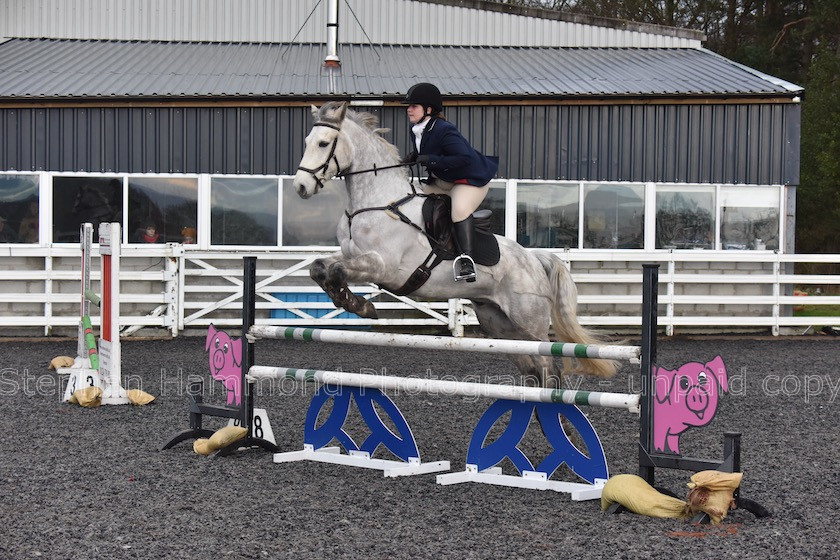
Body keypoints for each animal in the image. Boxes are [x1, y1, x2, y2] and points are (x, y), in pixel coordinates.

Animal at [296, 101, 616, 384]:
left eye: (324, 144)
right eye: (307, 141)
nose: (300, 187)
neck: (376, 202)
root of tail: (534, 259)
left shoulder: (382, 266)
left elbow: (337, 270)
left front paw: (361, 306)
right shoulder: (352, 255)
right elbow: (320, 267)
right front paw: (349, 301)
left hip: (529, 323)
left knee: (550, 369)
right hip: (499, 323)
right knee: (534, 371)